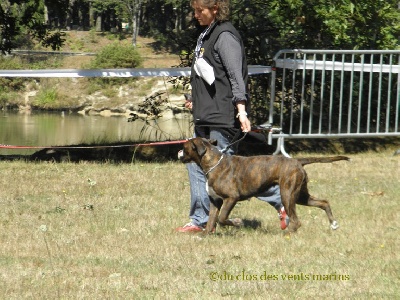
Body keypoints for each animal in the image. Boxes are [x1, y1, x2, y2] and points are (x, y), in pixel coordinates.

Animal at [178, 137, 350, 233]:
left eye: (185, 147)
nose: (179, 152)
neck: (213, 163)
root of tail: (297, 160)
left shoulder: (231, 198)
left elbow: (222, 218)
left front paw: (237, 223)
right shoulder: (215, 201)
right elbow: (212, 220)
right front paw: (205, 235)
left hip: (288, 194)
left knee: (296, 220)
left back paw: (286, 234)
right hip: (301, 195)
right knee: (323, 202)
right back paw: (333, 224)